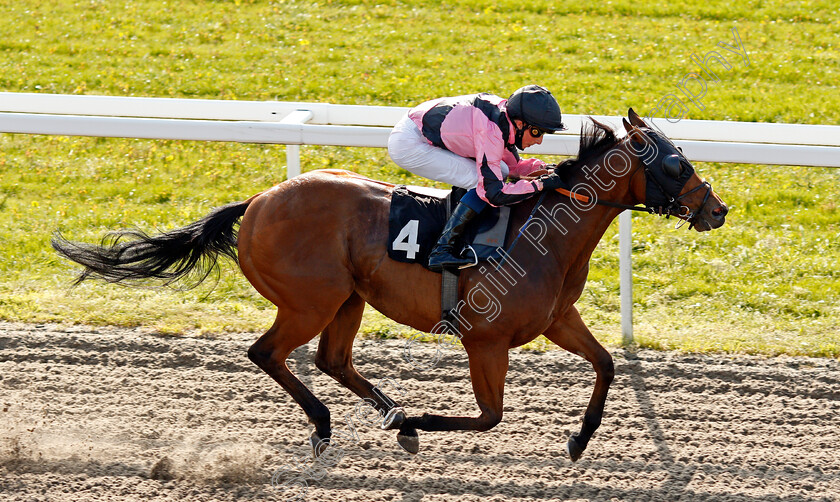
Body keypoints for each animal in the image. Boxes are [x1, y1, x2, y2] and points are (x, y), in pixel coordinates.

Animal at [52, 110, 724, 462]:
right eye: (675, 163)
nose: (716, 209)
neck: (544, 232)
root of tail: (258, 202)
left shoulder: (557, 320)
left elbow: (607, 364)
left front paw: (580, 439)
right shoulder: (485, 340)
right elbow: (490, 416)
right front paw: (421, 419)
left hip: (348, 298)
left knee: (333, 359)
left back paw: (389, 416)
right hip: (311, 299)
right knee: (268, 352)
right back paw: (335, 424)